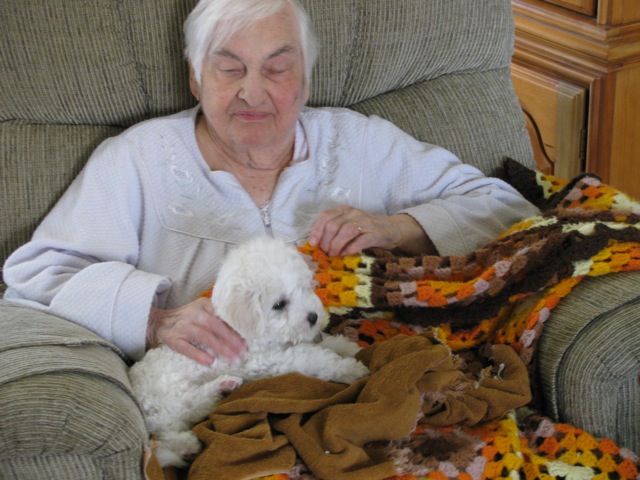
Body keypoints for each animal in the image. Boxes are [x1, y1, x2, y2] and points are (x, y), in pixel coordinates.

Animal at [129, 236, 370, 468]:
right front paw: (351, 369)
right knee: (176, 417)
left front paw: (348, 347)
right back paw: (211, 404)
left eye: (304, 288)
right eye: (279, 304)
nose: (313, 317)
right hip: (170, 395)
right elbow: (315, 358)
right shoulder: (272, 359)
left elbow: (324, 343)